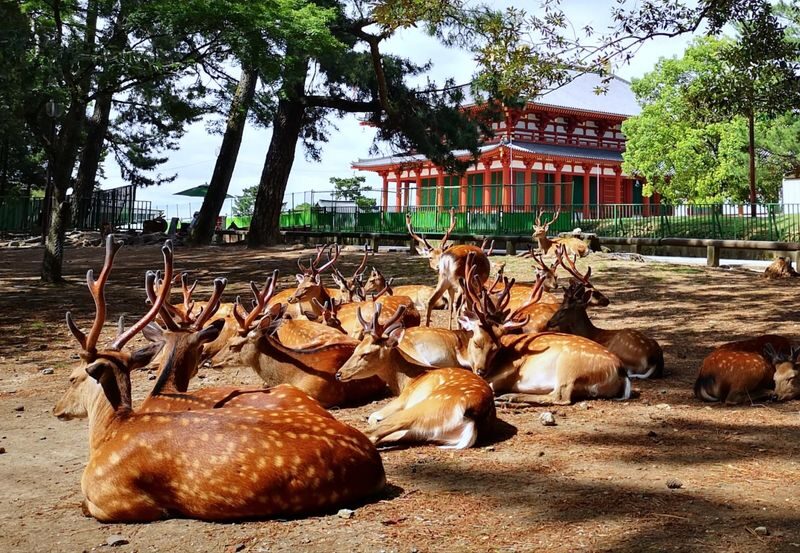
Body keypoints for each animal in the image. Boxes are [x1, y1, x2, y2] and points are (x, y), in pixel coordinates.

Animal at [335, 304, 496, 449]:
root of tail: (475, 417)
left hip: (429, 405)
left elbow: (374, 416)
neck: (406, 381)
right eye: (356, 348)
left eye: (366, 353)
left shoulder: (403, 399)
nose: (339, 374)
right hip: (427, 432)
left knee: (375, 432)